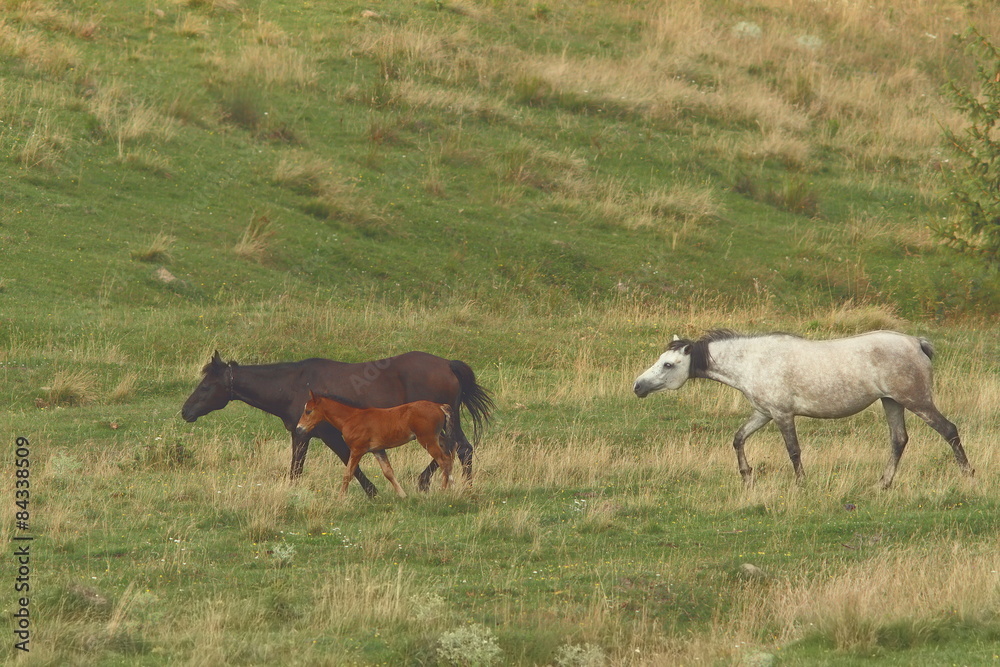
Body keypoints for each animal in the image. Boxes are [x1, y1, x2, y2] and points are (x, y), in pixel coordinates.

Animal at [294, 392, 456, 496]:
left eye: (308, 411)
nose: (299, 428)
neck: (351, 418)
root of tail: (439, 406)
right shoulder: (378, 450)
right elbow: (388, 472)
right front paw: (403, 495)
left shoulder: (357, 450)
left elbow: (348, 474)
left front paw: (340, 498)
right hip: (438, 438)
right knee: (448, 457)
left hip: (427, 439)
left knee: (443, 460)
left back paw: (443, 491)